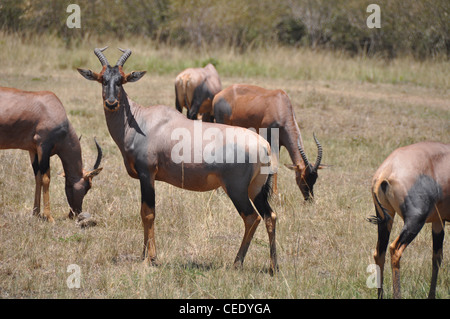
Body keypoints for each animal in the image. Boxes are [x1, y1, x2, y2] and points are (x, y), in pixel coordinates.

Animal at [0, 87, 103, 222]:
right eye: (88, 186)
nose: (75, 214)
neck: (52, 107)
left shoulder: (33, 150)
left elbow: (38, 178)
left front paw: (36, 214)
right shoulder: (44, 146)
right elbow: (46, 179)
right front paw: (49, 217)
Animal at [79, 47, 280, 276]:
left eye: (121, 80)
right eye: (103, 79)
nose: (111, 103)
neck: (142, 121)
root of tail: (264, 145)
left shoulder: (147, 175)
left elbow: (148, 213)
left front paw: (151, 259)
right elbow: (143, 212)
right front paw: (143, 254)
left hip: (236, 189)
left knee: (251, 217)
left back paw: (237, 263)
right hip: (256, 189)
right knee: (270, 216)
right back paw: (273, 267)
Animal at [370, 141, 448, 298]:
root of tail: (386, 170)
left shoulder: (439, 221)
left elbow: (437, 257)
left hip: (385, 219)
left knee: (379, 253)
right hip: (415, 220)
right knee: (395, 249)